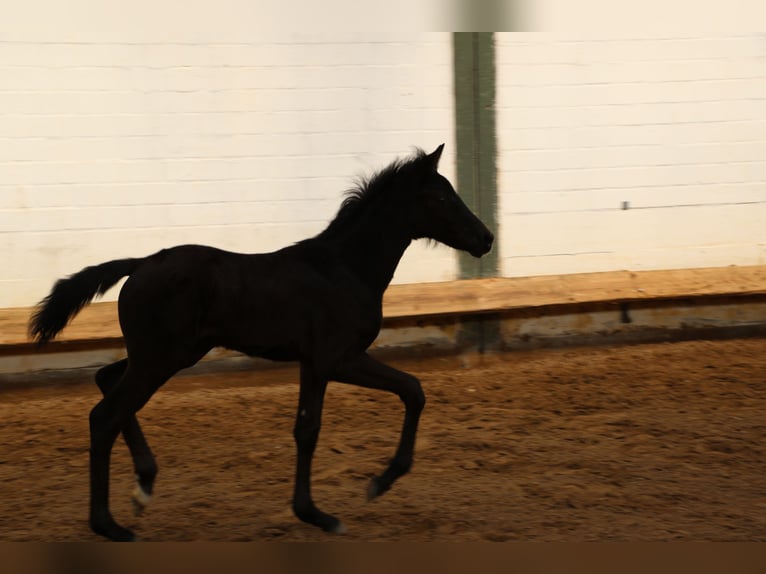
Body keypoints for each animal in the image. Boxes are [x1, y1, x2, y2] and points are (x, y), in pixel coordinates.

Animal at [29, 144, 494, 541]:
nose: (486, 238)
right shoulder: (336, 358)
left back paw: (144, 485)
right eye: (443, 197)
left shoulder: (313, 362)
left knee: (107, 380)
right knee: (105, 415)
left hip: (163, 355)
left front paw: (333, 503)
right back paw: (109, 524)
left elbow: (317, 425)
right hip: (160, 358)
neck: (345, 269)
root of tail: (141, 264)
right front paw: (350, 498)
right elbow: (395, 396)